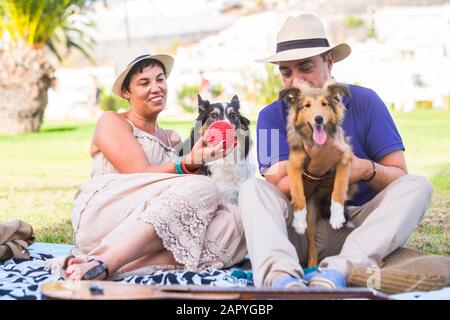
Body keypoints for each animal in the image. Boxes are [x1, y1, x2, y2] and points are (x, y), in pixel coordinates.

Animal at [282, 80, 356, 268]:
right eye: (307, 105)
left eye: (324, 104)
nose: (318, 119)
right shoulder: (293, 165)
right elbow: (298, 195)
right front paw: (298, 222)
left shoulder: (345, 158)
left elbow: (338, 190)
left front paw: (337, 217)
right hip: (312, 220)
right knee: (312, 246)